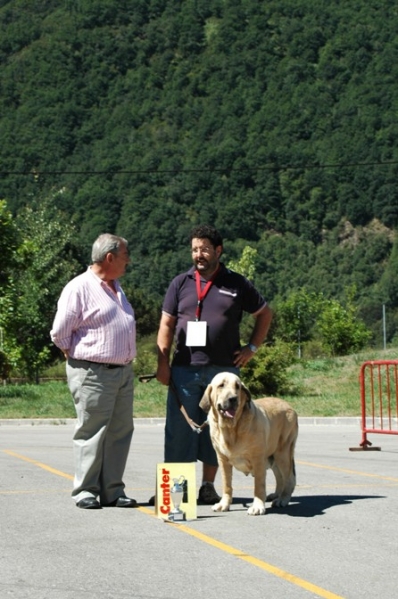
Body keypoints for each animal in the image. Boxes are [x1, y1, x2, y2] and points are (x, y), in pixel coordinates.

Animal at [201, 370, 296, 516]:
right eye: (221, 385)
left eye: (238, 387)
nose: (233, 399)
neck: (231, 428)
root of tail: (289, 406)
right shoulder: (222, 460)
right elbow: (227, 485)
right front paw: (224, 504)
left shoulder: (258, 460)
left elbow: (259, 485)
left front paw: (257, 506)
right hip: (273, 456)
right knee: (280, 476)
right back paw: (276, 494)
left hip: (283, 454)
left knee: (289, 478)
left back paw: (282, 499)